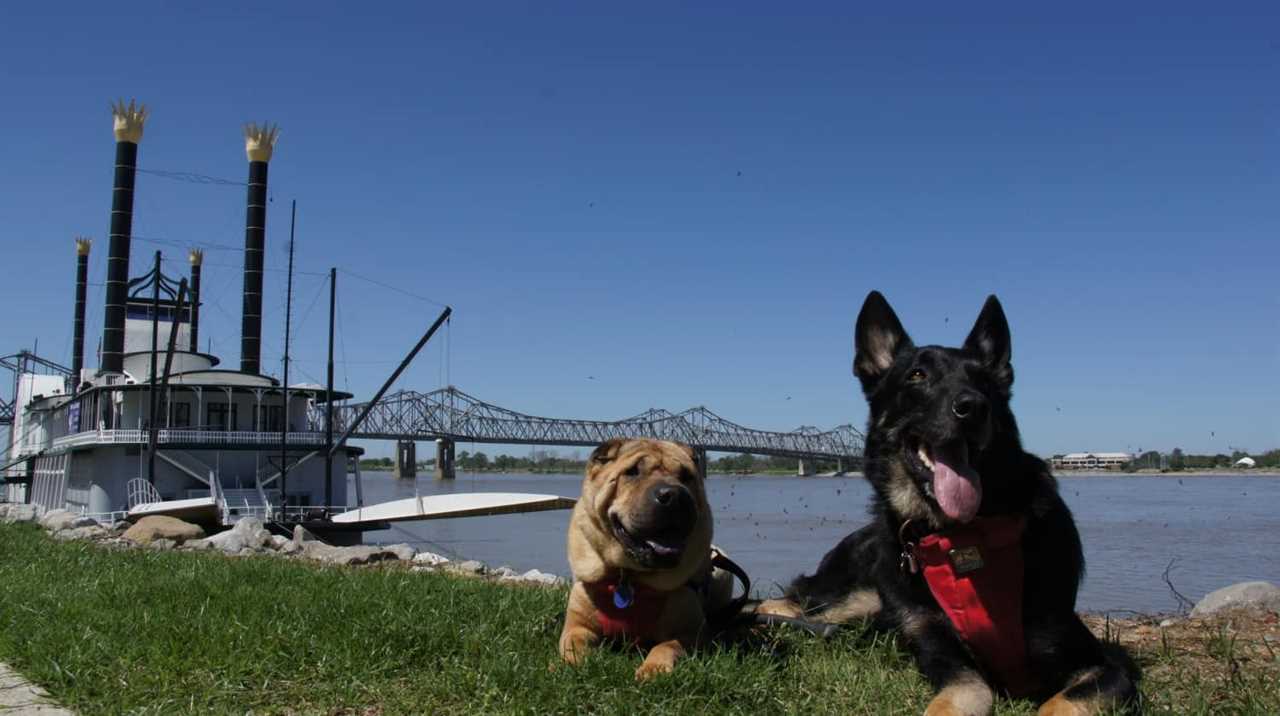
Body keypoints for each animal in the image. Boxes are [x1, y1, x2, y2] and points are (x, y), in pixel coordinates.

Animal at [752, 293, 1136, 716]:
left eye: (984, 381)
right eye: (917, 375)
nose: (973, 406)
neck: (960, 535)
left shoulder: (1103, 666)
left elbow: (1058, 704)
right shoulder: (943, 655)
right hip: (856, 598)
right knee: (782, 603)